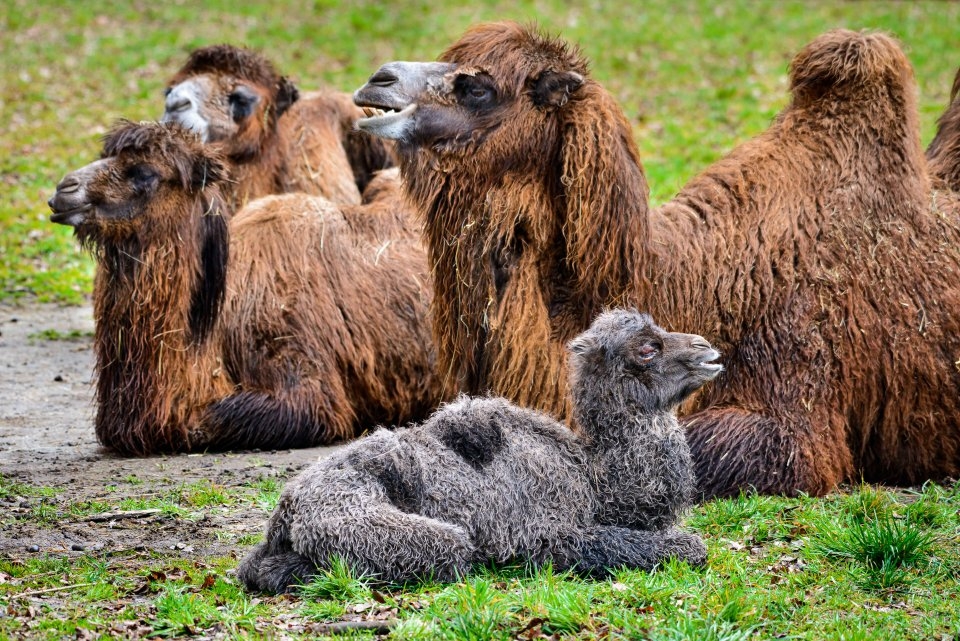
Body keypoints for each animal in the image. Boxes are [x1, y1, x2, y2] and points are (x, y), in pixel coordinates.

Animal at [240, 308, 720, 592]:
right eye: (647, 348)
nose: (708, 351)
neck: (592, 476)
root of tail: (286, 511)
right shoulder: (547, 531)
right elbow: (685, 546)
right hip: (380, 526)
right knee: (449, 550)